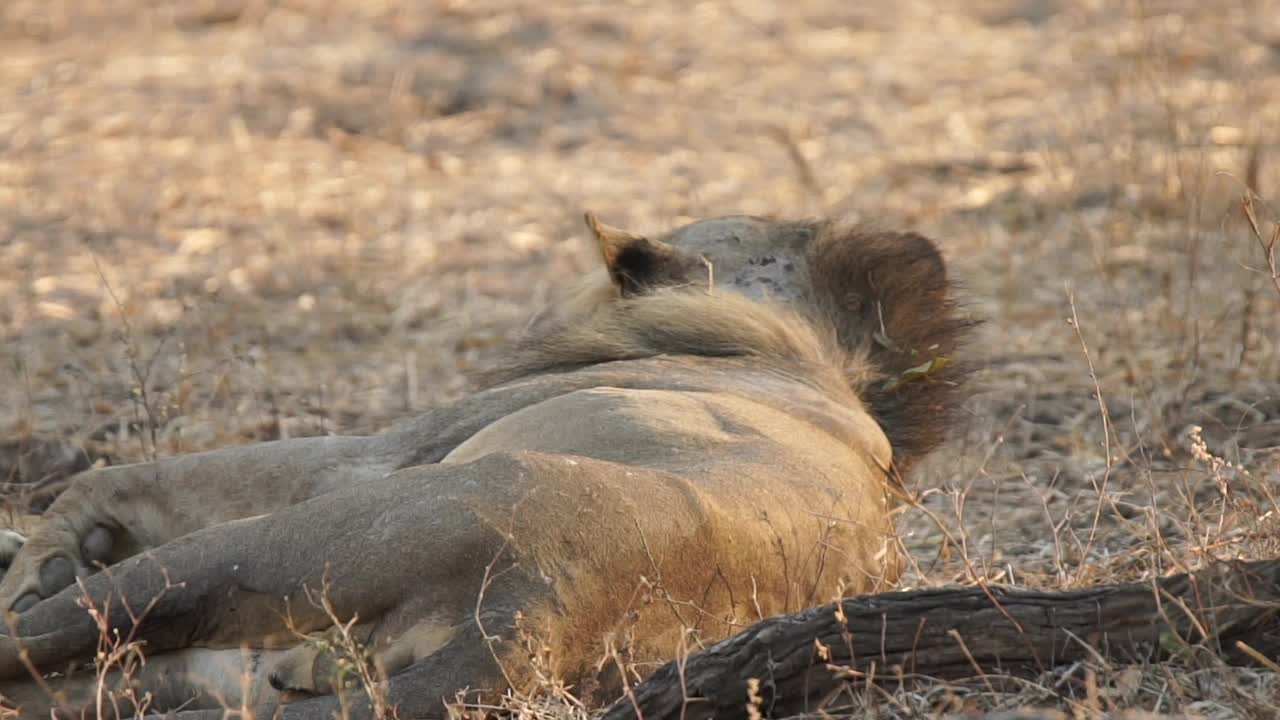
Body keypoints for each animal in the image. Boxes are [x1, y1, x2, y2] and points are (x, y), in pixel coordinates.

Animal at [0, 210, 967, 712]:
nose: (533, 320)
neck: (805, 353)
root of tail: (541, 611)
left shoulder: (372, 455)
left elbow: (114, 478)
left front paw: (41, 549)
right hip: (220, 677)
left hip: (285, 542)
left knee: (45, 630)